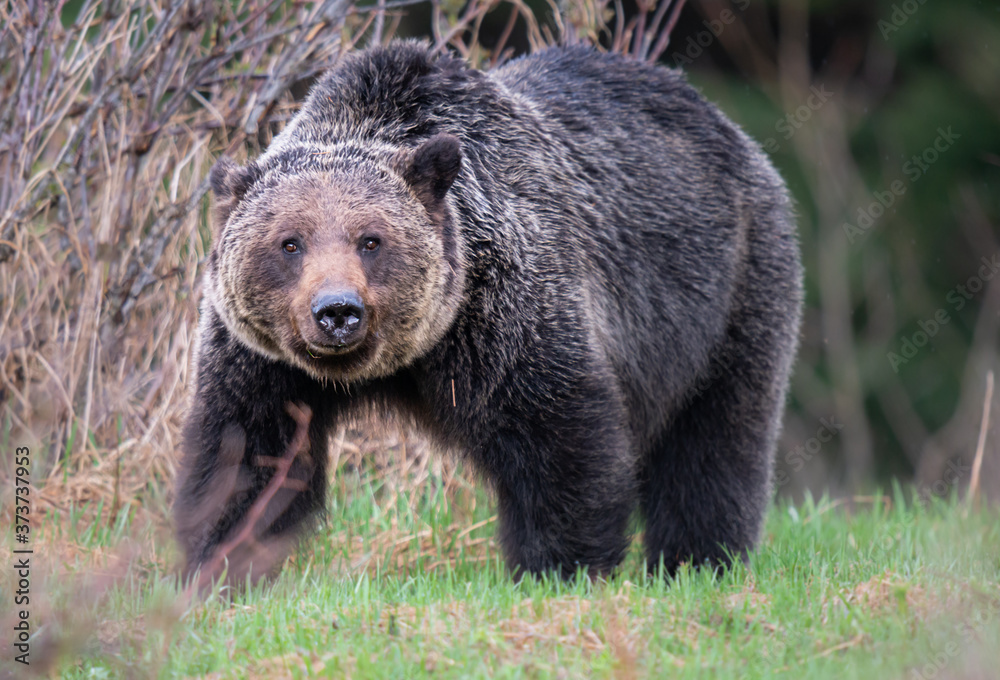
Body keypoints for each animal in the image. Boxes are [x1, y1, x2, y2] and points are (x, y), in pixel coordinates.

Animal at [174, 41, 804, 580]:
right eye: (290, 243)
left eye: (371, 240)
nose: (337, 312)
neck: (407, 358)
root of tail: (727, 127)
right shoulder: (263, 359)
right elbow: (246, 453)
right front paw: (219, 564)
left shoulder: (505, 316)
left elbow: (561, 439)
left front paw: (561, 565)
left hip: (726, 290)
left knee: (714, 439)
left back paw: (698, 559)